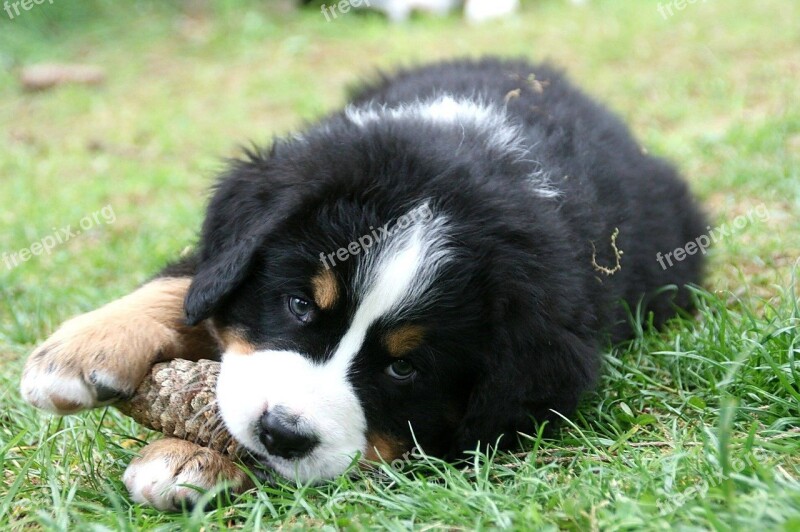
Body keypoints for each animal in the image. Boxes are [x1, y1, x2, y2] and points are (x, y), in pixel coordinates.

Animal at [20, 56, 708, 510]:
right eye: (299, 304)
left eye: (405, 369)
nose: (283, 433)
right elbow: (186, 285)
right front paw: (77, 354)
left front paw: (188, 458)